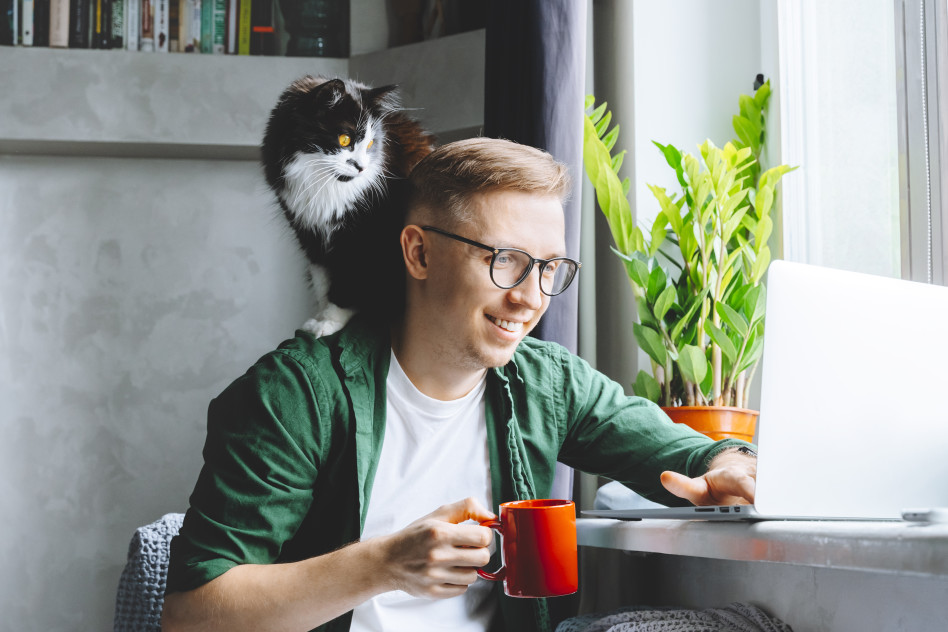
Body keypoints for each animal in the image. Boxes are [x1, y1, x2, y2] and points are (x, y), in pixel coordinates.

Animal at [260, 75, 436, 336]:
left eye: (371, 144)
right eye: (345, 139)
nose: (362, 168)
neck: (323, 185)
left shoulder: (359, 240)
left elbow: (345, 287)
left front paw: (329, 322)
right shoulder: (310, 236)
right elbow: (323, 284)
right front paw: (320, 318)